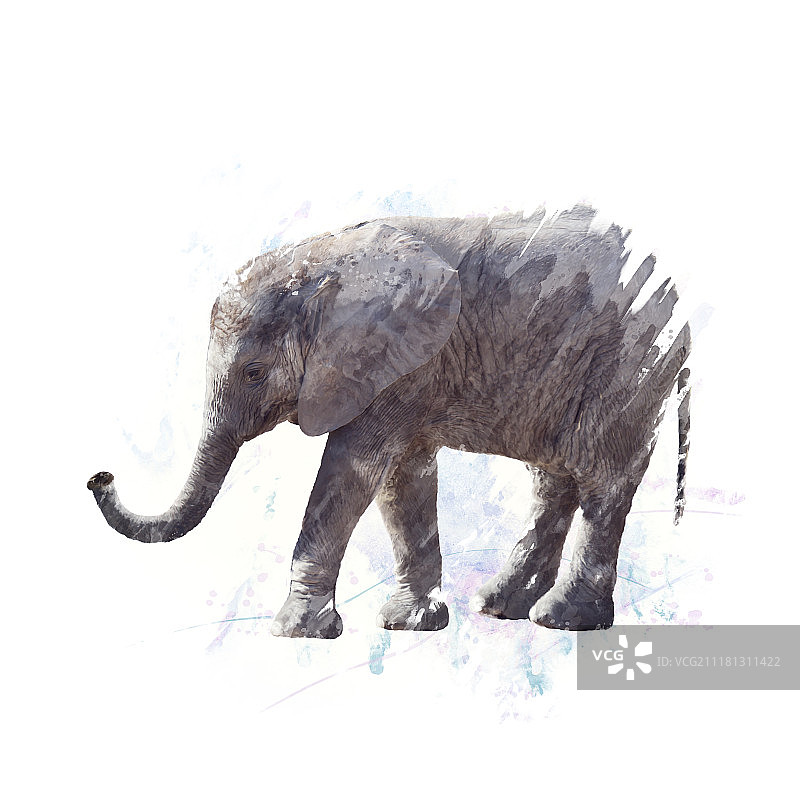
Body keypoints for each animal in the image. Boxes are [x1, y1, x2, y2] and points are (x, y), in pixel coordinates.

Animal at [88, 205, 691, 635]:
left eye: (254, 372)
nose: (100, 475)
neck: (326, 262)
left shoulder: (399, 359)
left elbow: (353, 468)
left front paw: (296, 632)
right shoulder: (408, 367)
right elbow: (402, 481)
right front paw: (409, 625)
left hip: (628, 365)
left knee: (603, 478)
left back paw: (561, 620)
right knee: (555, 480)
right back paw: (499, 607)